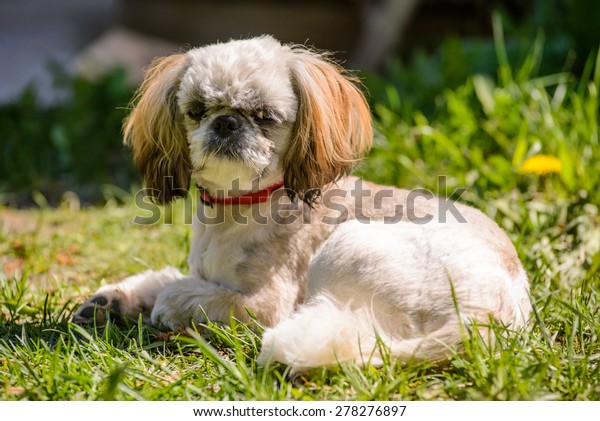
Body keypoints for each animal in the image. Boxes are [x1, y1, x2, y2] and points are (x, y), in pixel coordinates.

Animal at [72, 37, 532, 370]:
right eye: (197, 110)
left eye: (264, 116)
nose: (226, 122)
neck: (239, 205)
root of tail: (485, 316)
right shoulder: (201, 269)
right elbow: (166, 276)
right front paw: (114, 299)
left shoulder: (263, 304)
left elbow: (182, 292)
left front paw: (165, 305)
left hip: (346, 246)